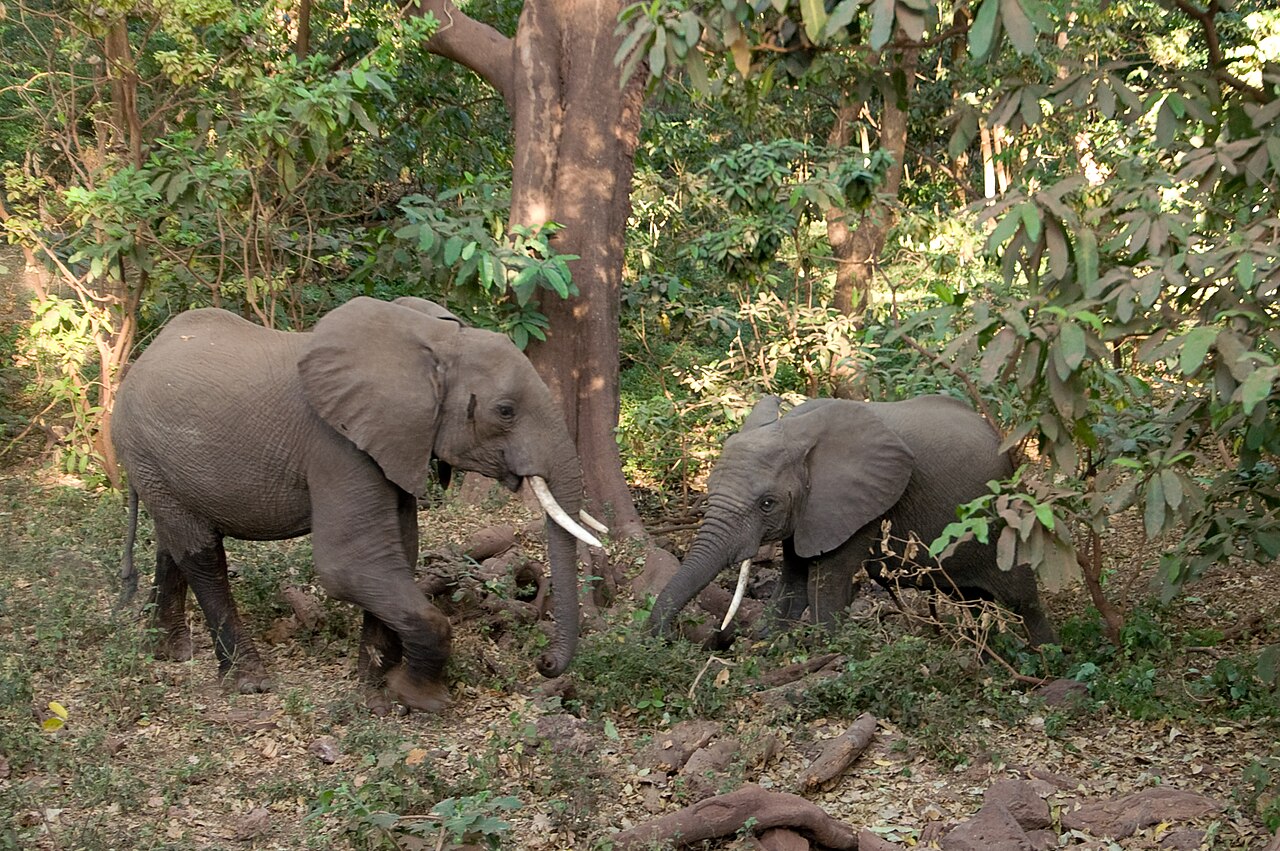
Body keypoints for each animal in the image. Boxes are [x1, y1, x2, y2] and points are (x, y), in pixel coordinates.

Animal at [112, 296, 605, 712]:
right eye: (505, 411)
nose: (544, 664)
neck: (434, 343)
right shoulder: (337, 445)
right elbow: (351, 564)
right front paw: (418, 698)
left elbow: (399, 553)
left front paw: (375, 691)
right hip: (140, 447)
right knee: (201, 553)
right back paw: (249, 681)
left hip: (156, 462)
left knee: (173, 542)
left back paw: (171, 653)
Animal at [649, 394, 1056, 647]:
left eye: (767, 503)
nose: (717, 636)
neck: (795, 430)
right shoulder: (812, 511)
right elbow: (794, 578)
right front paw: (767, 642)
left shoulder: (861, 504)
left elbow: (827, 578)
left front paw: (823, 648)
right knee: (974, 600)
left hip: (1003, 516)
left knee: (1022, 598)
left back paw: (1043, 662)